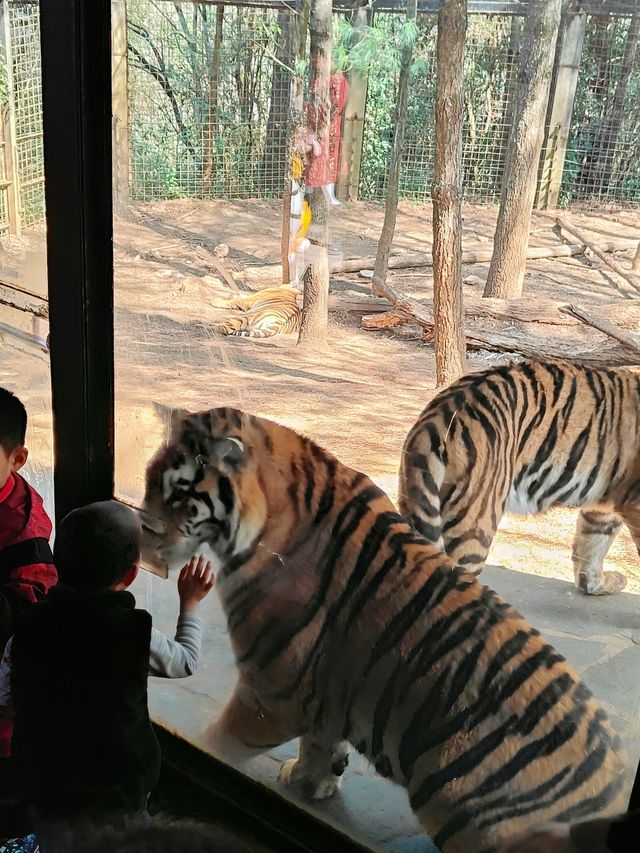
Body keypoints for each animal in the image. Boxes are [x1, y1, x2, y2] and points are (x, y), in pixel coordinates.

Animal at [139, 406, 624, 852]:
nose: (144, 530)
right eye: (148, 479)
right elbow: (319, 740)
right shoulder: (323, 688)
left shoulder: (271, 690)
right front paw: (312, 779)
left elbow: (221, 742)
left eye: (179, 494)